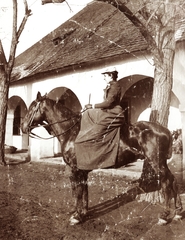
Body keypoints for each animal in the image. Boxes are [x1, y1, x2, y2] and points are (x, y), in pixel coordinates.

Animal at [21, 91, 182, 225]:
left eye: (32, 107)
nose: (22, 127)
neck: (73, 132)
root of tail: (166, 131)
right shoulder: (81, 170)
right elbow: (83, 192)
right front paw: (82, 212)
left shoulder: (75, 170)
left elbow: (78, 192)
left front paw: (77, 216)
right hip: (160, 162)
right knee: (173, 180)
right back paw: (178, 211)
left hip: (156, 162)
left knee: (167, 183)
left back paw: (164, 216)